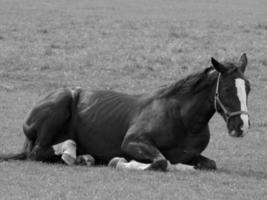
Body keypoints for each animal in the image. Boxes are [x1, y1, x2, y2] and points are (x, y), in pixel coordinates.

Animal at [0, 54, 251, 171]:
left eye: (248, 87)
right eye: (227, 89)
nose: (242, 127)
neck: (180, 117)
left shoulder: (191, 154)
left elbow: (207, 164)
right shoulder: (132, 142)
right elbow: (161, 162)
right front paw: (121, 162)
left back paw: (83, 157)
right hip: (61, 102)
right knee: (38, 151)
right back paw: (73, 153)